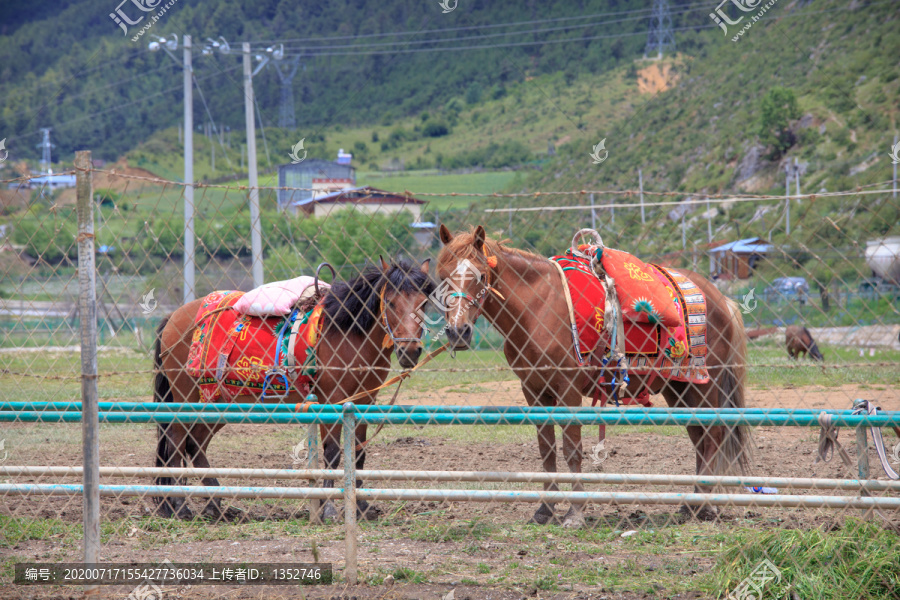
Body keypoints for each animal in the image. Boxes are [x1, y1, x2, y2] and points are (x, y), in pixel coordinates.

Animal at [153, 258, 434, 520]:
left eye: (423, 304)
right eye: (391, 303)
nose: (410, 351)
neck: (346, 331)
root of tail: (173, 317)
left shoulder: (364, 401)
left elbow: (359, 451)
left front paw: (362, 507)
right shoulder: (331, 399)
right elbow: (332, 452)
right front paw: (328, 508)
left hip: (219, 401)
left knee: (196, 444)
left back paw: (214, 504)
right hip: (186, 399)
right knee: (176, 443)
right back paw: (180, 506)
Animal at [438, 227, 752, 528]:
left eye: (480, 275)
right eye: (441, 277)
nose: (458, 332)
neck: (538, 308)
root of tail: (720, 298)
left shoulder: (567, 390)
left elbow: (571, 449)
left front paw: (575, 513)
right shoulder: (534, 390)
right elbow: (546, 449)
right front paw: (544, 510)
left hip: (706, 385)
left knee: (713, 436)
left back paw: (706, 506)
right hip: (679, 387)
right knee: (699, 437)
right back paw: (692, 505)